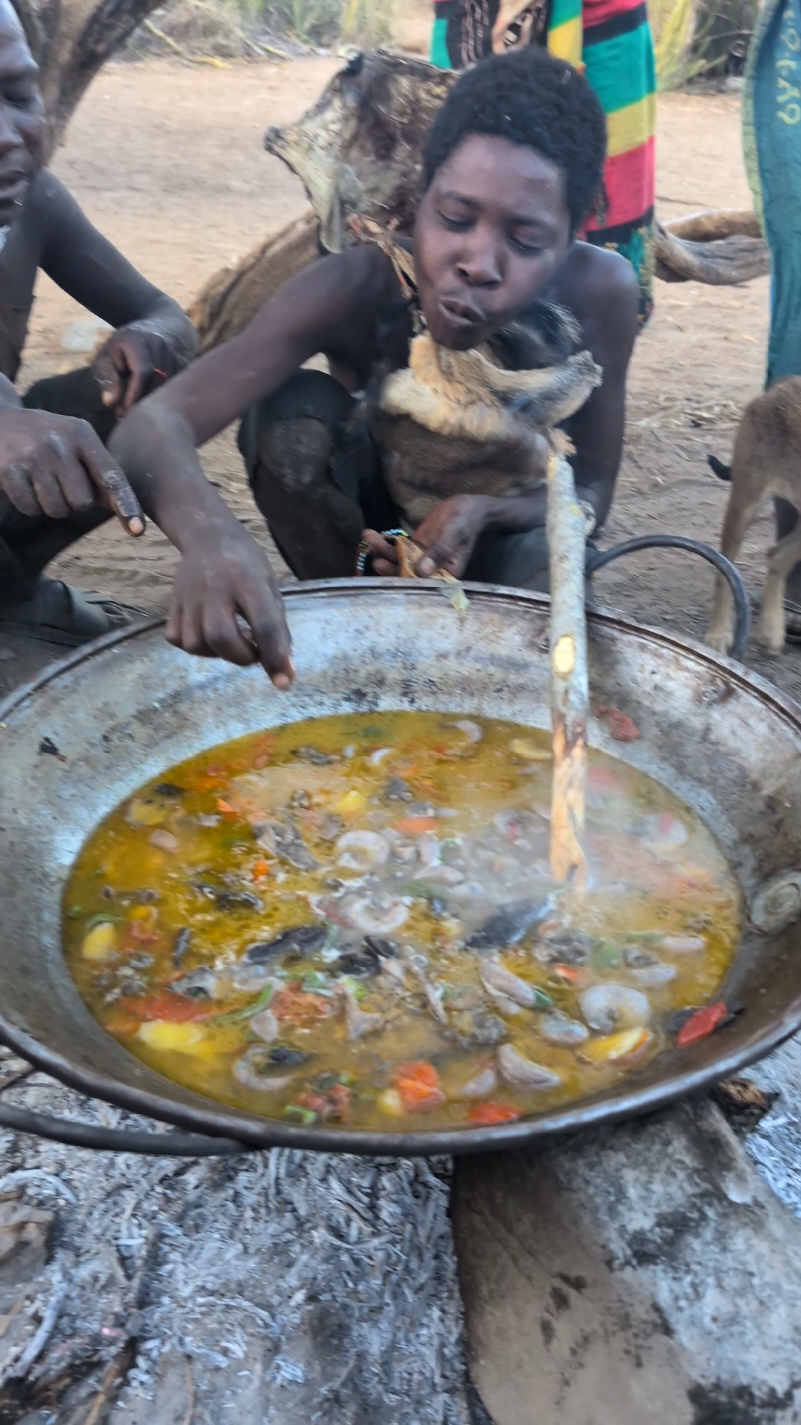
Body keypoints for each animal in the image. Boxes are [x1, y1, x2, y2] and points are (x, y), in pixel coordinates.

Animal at [704, 373, 801, 652]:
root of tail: (777, 389)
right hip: (745, 499)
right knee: (724, 566)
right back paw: (718, 634)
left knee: (777, 555)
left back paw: (771, 628)